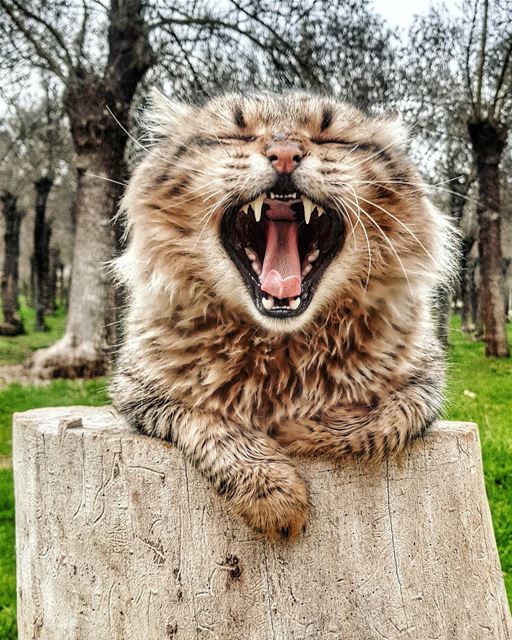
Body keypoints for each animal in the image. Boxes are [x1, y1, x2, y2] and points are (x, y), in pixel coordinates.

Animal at [110, 91, 454, 540]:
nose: (286, 153)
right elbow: (210, 421)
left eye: (330, 137)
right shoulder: (140, 390)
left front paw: (298, 431)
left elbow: (380, 421)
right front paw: (273, 492)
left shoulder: (425, 382)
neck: (282, 348)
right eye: (236, 133)